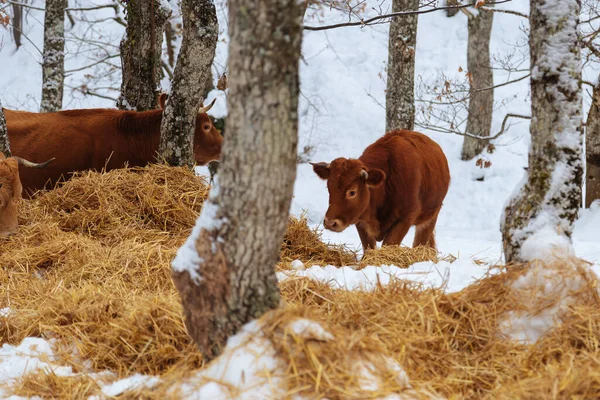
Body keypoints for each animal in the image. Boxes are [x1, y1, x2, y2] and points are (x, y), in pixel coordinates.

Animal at [312, 130, 448, 252]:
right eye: (329, 188)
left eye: (352, 192)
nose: (330, 223)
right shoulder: (361, 220)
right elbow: (369, 248)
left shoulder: (405, 218)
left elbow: (388, 245)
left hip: (430, 216)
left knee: (420, 244)